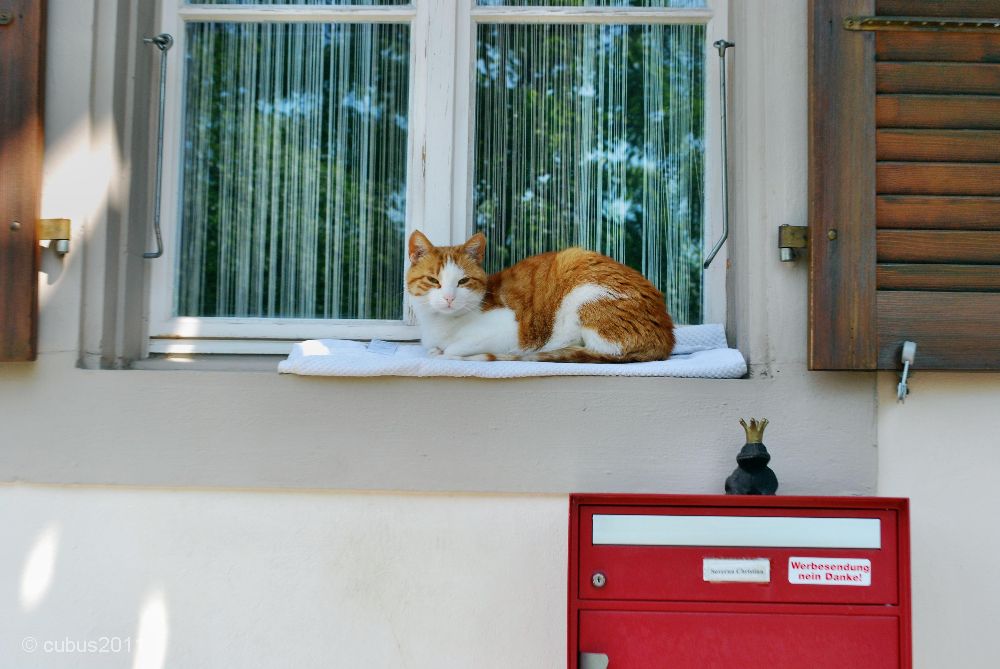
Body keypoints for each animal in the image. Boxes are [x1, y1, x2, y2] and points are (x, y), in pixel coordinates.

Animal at [405, 230, 675, 362]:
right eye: (433, 281)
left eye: (463, 281)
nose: (449, 298)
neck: (440, 324)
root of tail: (666, 337)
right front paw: (435, 350)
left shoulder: (509, 330)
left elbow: (453, 348)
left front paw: (445, 351)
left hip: (581, 290)